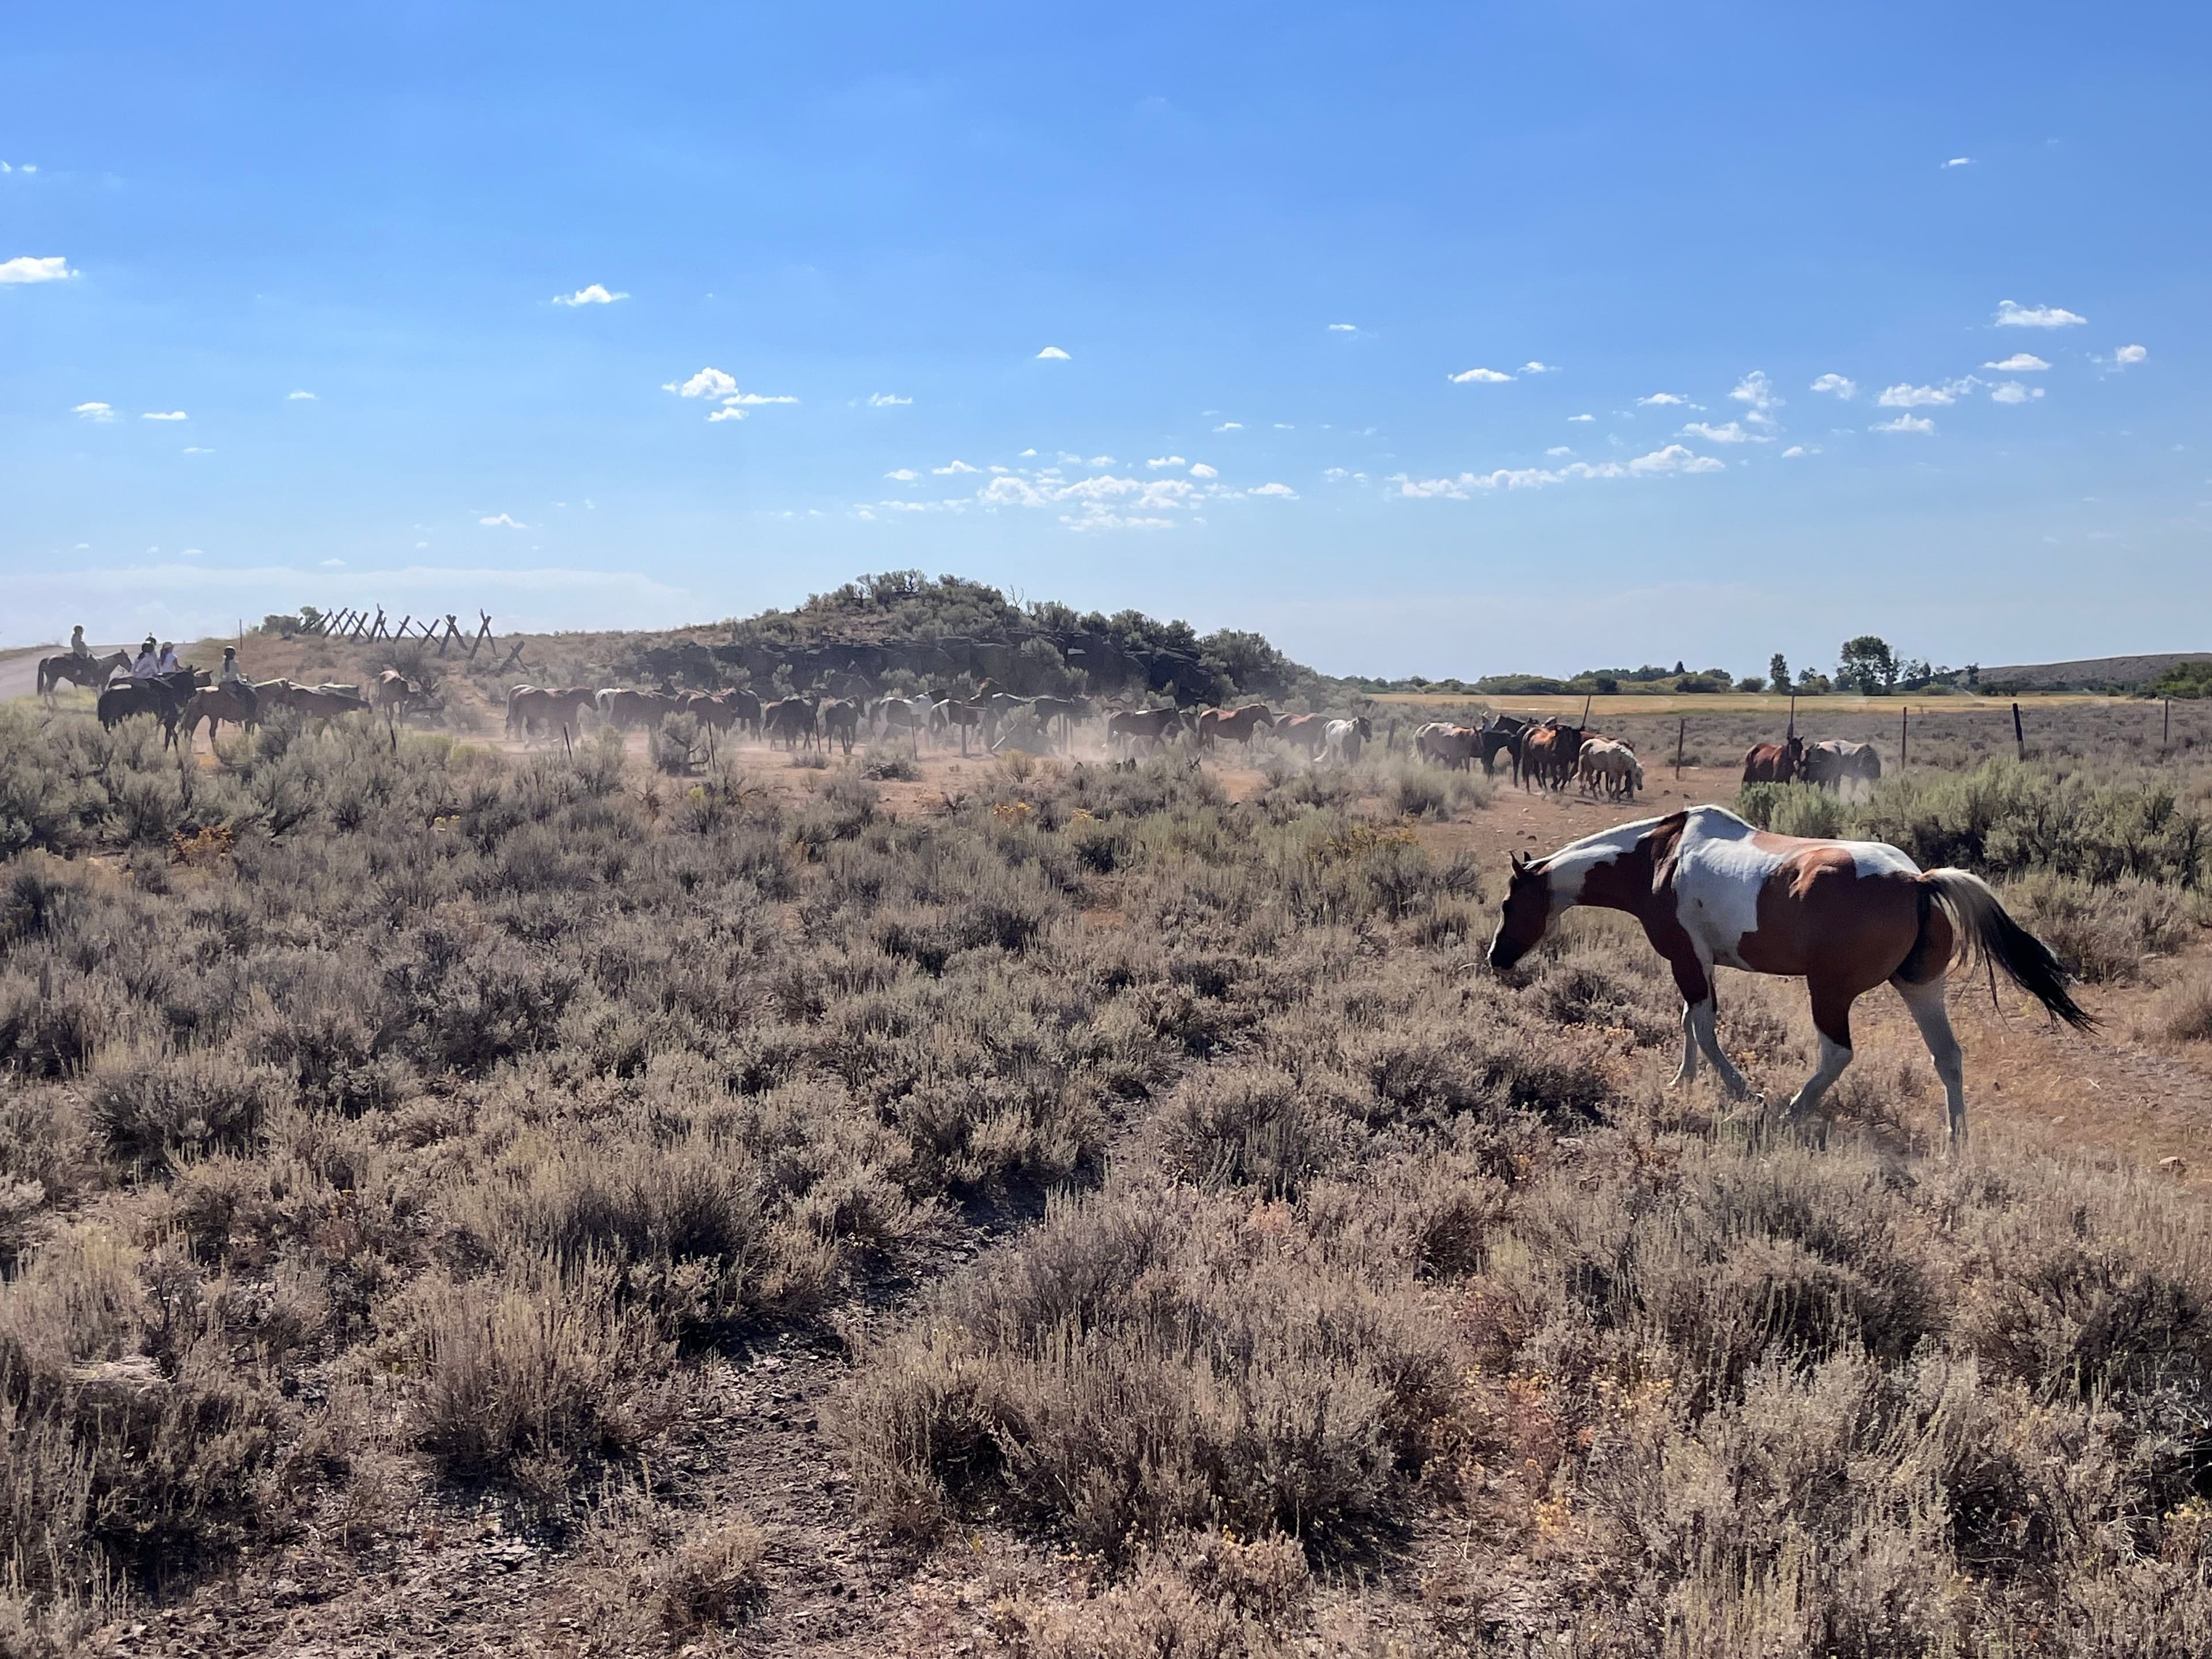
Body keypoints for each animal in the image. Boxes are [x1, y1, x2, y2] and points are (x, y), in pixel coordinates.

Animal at [38, 649, 131, 700]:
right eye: (125, 658)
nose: (131, 667)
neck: (104, 666)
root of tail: (48, 659)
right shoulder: (101, 685)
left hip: (52, 679)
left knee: (46, 690)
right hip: (53, 678)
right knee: (49, 691)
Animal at [1487, 805, 2092, 1152]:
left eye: (1508, 904)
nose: (1497, 957)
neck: (1660, 858)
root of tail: (1916, 881)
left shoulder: (1687, 958)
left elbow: (1702, 1028)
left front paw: (1743, 1092)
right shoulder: (1698, 962)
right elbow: (1689, 1021)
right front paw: (1683, 1082)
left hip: (1829, 992)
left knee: (1837, 1054)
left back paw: (1793, 1111)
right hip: (1921, 989)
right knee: (1949, 1057)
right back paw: (1954, 1146)